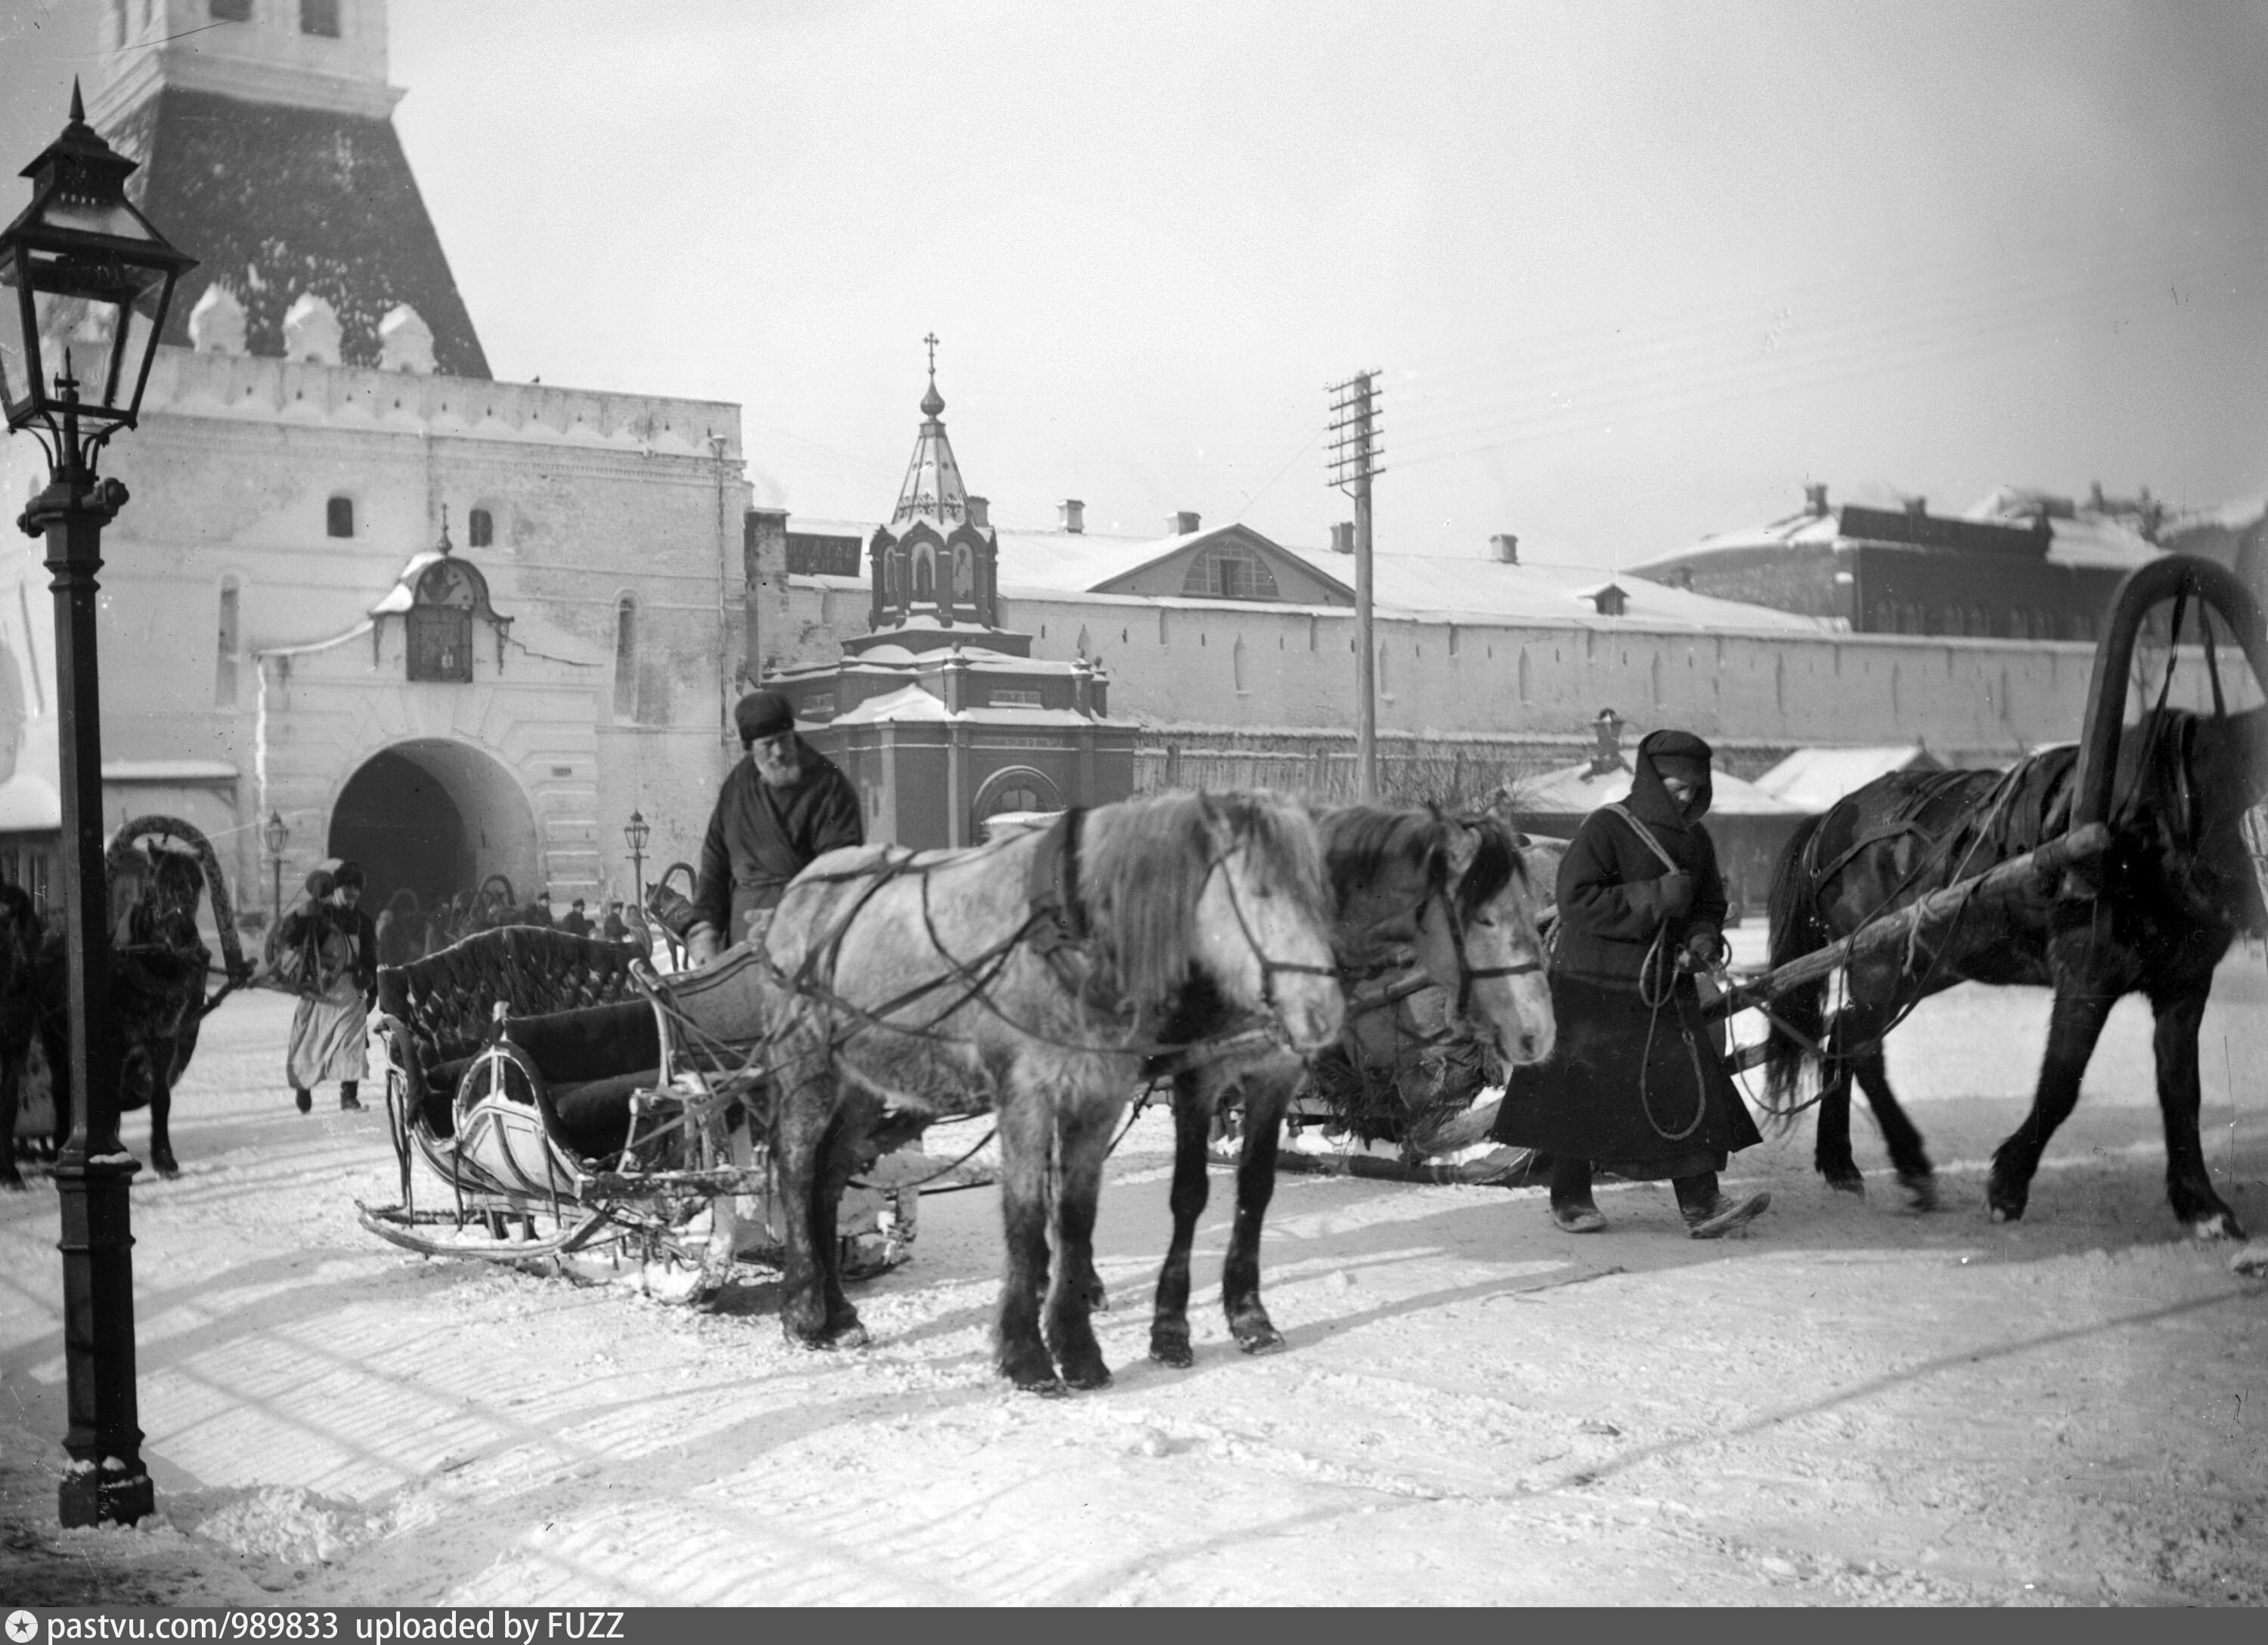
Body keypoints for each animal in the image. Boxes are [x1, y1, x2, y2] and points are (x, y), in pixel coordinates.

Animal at [1769, 703, 2268, 1234]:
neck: (2153, 820)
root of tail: (1832, 817)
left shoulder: (2186, 982)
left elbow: (2181, 1091)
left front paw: (2202, 1205)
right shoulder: (2085, 974)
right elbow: (2060, 1083)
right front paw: (2008, 1185)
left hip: (1924, 965)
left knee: (1843, 1032)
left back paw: (1839, 1162)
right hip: (1878, 965)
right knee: (1863, 1048)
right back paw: (1909, 1165)